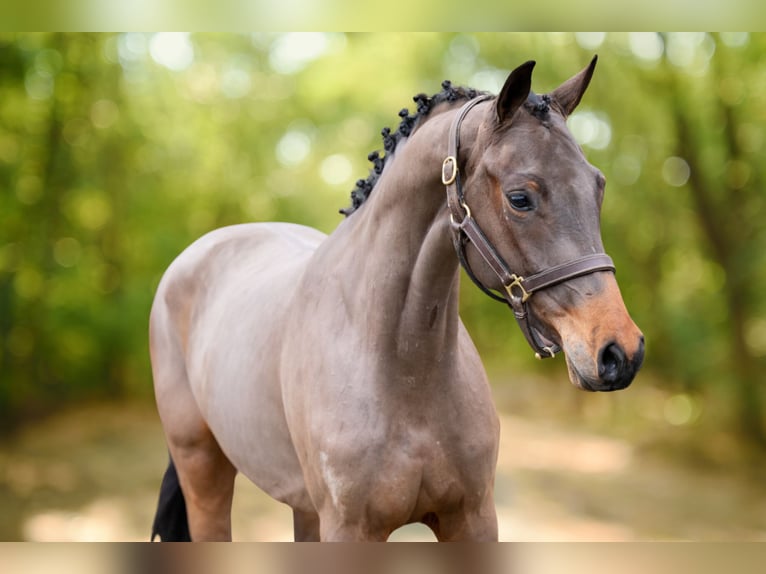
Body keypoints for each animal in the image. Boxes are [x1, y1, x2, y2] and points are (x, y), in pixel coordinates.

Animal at [150, 56, 648, 544]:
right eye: (520, 198)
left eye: (598, 186)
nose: (620, 352)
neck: (404, 370)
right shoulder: (350, 529)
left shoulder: (472, 517)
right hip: (204, 471)